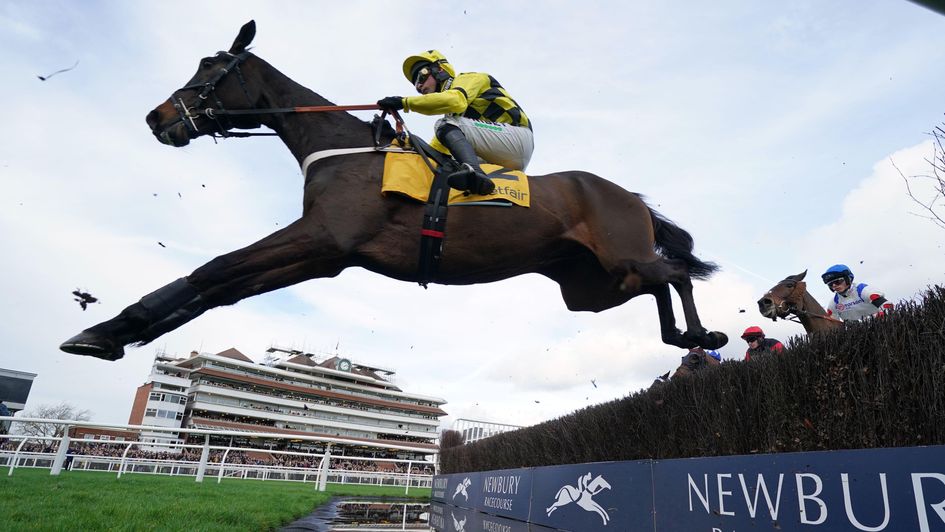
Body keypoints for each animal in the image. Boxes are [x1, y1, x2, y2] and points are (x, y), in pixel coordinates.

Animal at [59, 20, 728, 362]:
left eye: (211, 69)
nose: (157, 117)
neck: (343, 147)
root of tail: (632, 197)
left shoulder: (322, 236)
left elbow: (213, 269)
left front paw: (107, 329)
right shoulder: (325, 255)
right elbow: (223, 287)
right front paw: (116, 333)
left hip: (616, 257)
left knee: (674, 273)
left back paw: (700, 335)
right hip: (590, 288)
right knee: (656, 283)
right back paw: (682, 337)